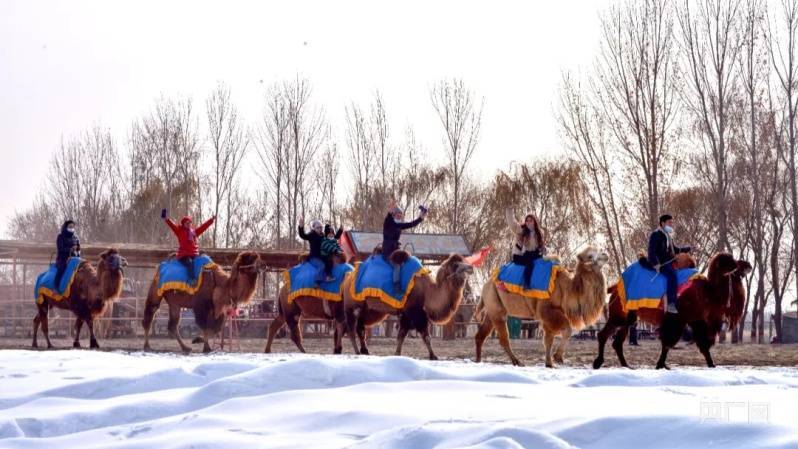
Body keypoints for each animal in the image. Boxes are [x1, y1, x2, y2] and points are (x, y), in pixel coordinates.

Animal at [342, 252, 476, 360]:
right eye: (456, 265)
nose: (471, 267)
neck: (427, 292)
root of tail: (348, 278)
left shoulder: (406, 314)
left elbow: (401, 335)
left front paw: (397, 353)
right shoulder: (415, 312)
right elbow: (426, 336)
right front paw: (433, 356)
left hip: (365, 308)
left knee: (360, 329)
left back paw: (365, 351)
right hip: (351, 307)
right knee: (351, 329)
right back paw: (357, 351)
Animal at [476, 245, 612, 368]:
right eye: (590, 255)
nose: (605, 254)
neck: (567, 288)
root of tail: (486, 285)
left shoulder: (550, 316)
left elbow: (549, 340)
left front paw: (550, 363)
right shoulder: (547, 311)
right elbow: (566, 331)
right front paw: (557, 358)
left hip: (492, 309)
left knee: (481, 334)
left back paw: (478, 360)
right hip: (496, 308)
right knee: (503, 338)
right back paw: (517, 362)